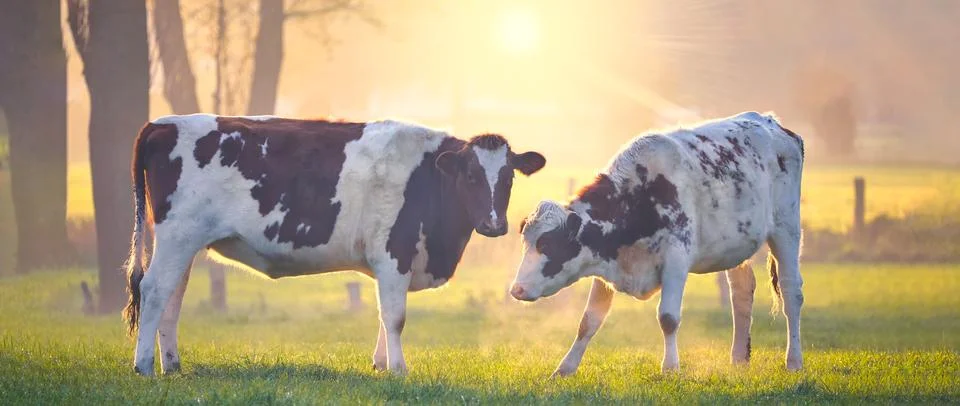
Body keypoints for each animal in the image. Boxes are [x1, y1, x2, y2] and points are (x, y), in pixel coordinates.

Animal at [123, 114, 546, 376]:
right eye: (471, 175)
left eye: (509, 177)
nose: (494, 224)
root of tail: (162, 123)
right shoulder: (393, 253)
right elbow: (395, 316)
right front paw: (398, 369)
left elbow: (383, 315)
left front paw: (380, 365)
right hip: (178, 235)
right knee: (154, 289)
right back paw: (144, 366)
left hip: (184, 242)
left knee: (172, 296)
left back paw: (172, 364)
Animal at [509, 111, 804, 375]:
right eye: (526, 243)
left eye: (548, 245)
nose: (516, 289)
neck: (638, 196)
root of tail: (771, 122)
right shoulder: (606, 263)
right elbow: (589, 320)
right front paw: (565, 368)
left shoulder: (676, 260)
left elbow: (668, 318)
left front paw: (670, 368)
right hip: (736, 245)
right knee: (741, 293)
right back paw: (739, 359)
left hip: (786, 229)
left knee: (791, 292)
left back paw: (794, 361)